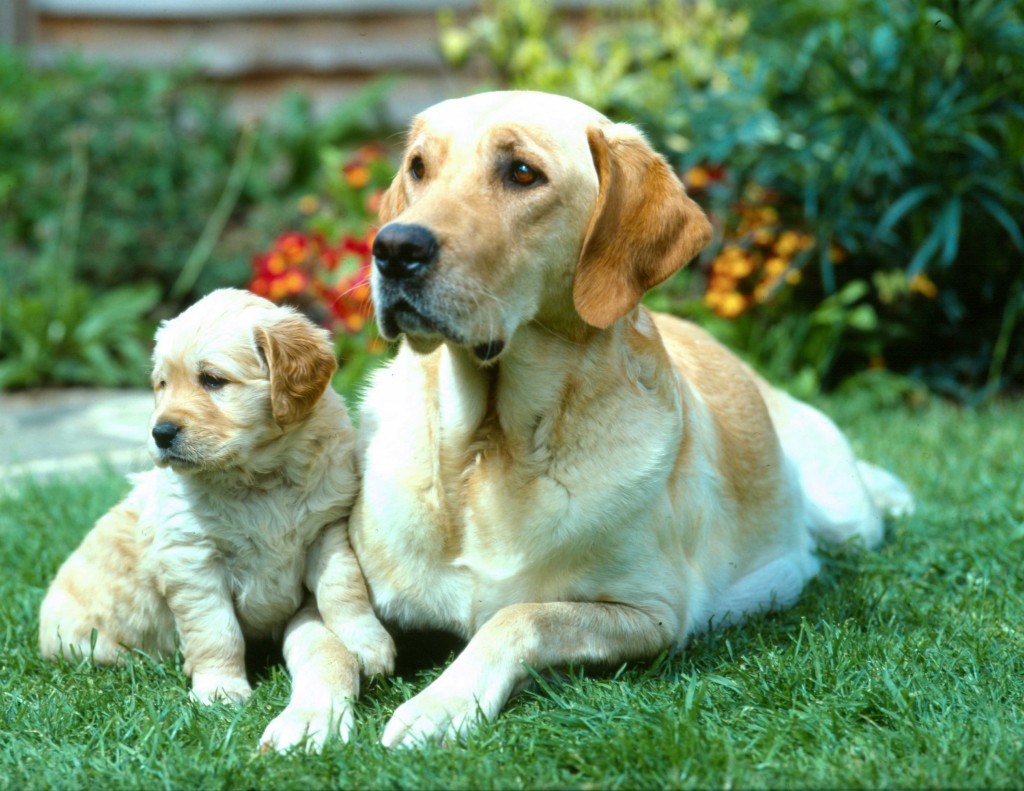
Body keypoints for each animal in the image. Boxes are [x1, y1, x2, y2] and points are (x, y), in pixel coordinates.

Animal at [37, 286, 393, 750]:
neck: (257, 478)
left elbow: (343, 586)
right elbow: (216, 631)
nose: (160, 433)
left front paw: (367, 642)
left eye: (212, 380)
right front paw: (221, 690)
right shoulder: (193, 561)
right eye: (162, 384)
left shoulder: (326, 528)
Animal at [272, 89, 913, 745]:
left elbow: (519, 616)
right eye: (419, 168)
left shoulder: (652, 615)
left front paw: (439, 705)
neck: (489, 449)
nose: (394, 248)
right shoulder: (324, 602)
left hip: (845, 516)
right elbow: (324, 640)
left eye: (522, 172)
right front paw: (306, 716)